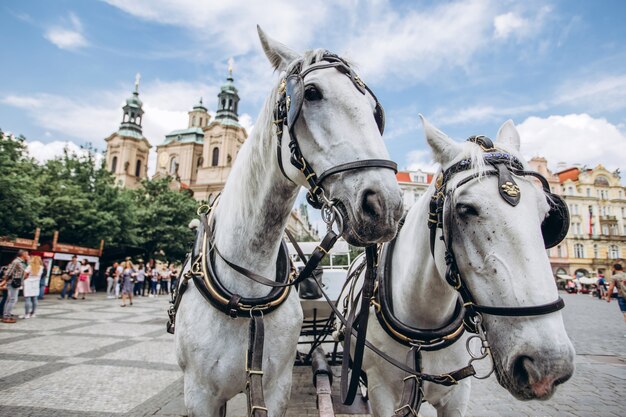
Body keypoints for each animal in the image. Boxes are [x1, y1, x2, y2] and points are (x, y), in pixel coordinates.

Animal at [173, 27, 402, 414]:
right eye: (311, 93)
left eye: (374, 111)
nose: (385, 206)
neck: (246, 296)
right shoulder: (200, 394)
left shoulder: (276, 386)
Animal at [354, 117, 572, 416]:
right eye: (465, 209)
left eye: (546, 213)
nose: (549, 364)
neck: (423, 333)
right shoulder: (382, 393)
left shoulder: (457, 395)